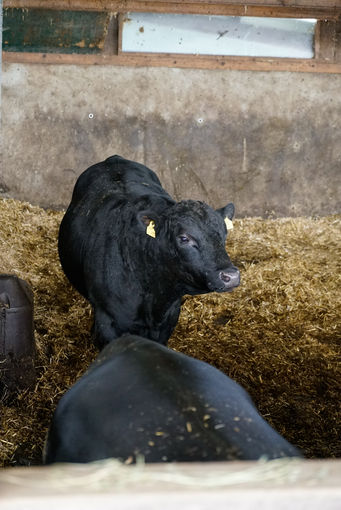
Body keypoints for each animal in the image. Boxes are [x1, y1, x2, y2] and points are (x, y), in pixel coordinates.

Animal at [58, 154, 239, 350]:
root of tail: (113, 159)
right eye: (184, 238)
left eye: (223, 233)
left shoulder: (169, 318)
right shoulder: (107, 322)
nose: (230, 275)